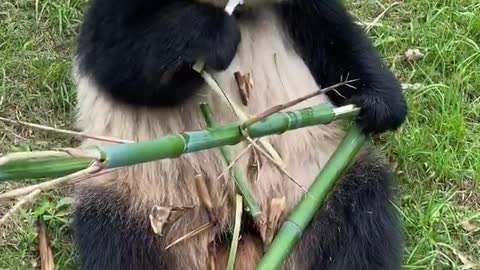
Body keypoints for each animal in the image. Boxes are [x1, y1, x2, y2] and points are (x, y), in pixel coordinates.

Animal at [71, 0, 408, 268]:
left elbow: (332, 35)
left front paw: (380, 103)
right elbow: (119, 59)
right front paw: (210, 36)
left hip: (319, 181)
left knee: (358, 224)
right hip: (140, 199)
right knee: (119, 245)